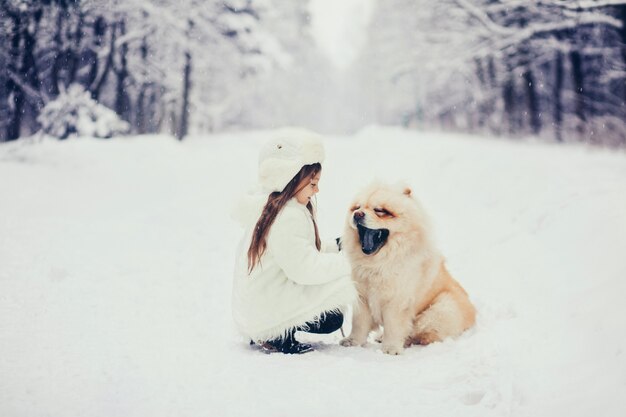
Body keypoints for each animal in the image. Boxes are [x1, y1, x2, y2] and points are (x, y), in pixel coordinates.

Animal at [342, 182, 472, 354]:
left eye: (380, 210)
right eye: (356, 207)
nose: (357, 214)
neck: (378, 263)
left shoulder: (397, 301)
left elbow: (394, 326)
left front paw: (391, 349)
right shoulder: (362, 297)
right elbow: (359, 324)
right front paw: (352, 342)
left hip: (441, 309)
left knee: (423, 333)